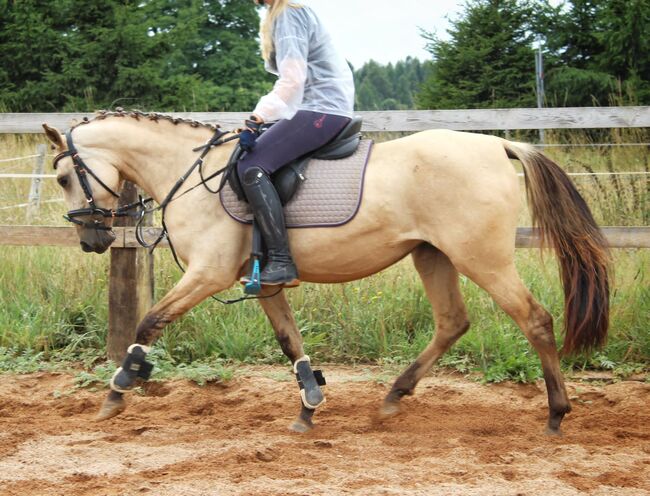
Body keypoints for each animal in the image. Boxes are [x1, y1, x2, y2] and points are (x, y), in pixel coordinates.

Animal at [41, 111, 608, 434]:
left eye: (65, 177)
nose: (92, 241)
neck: (191, 173)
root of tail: (497, 144)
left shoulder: (207, 275)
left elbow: (148, 322)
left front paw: (119, 388)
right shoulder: (264, 280)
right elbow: (289, 340)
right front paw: (309, 404)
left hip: (481, 257)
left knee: (535, 320)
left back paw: (556, 413)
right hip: (433, 255)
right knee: (452, 322)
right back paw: (392, 398)